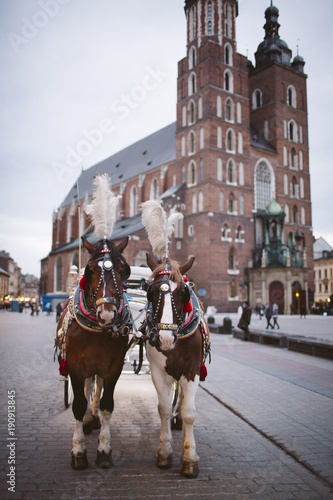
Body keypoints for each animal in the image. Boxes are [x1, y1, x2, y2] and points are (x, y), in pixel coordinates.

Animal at [56, 236, 130, 470]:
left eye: (123, 269)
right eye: (89, 270)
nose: (107, 315)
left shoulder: (114, 367)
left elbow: (106, 404)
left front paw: (104, 450)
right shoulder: (74, 366)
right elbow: (79, 404)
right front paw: (78, 451)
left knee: (96, 388)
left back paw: (94, 416)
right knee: (88, 388)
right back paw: (88, 420)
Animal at [143, 256, 210, 478]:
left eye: (183, 292)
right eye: (151, 292)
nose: (165, 339)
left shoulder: (192, 371)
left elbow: (189, 412)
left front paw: (190, 459)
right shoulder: (157, 372)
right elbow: (163, 409)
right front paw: (165, 452)